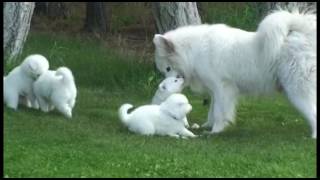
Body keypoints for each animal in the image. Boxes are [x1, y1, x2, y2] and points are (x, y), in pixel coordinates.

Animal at [153, 4, 318, 139]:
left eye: (168, 68)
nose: (164, 85)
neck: (194, 52)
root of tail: (303, 34)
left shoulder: (223, 89)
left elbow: (219, 112)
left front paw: (215, 131)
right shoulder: (215, 91)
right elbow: (212, 111)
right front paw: (207, 126)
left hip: (298, 91)